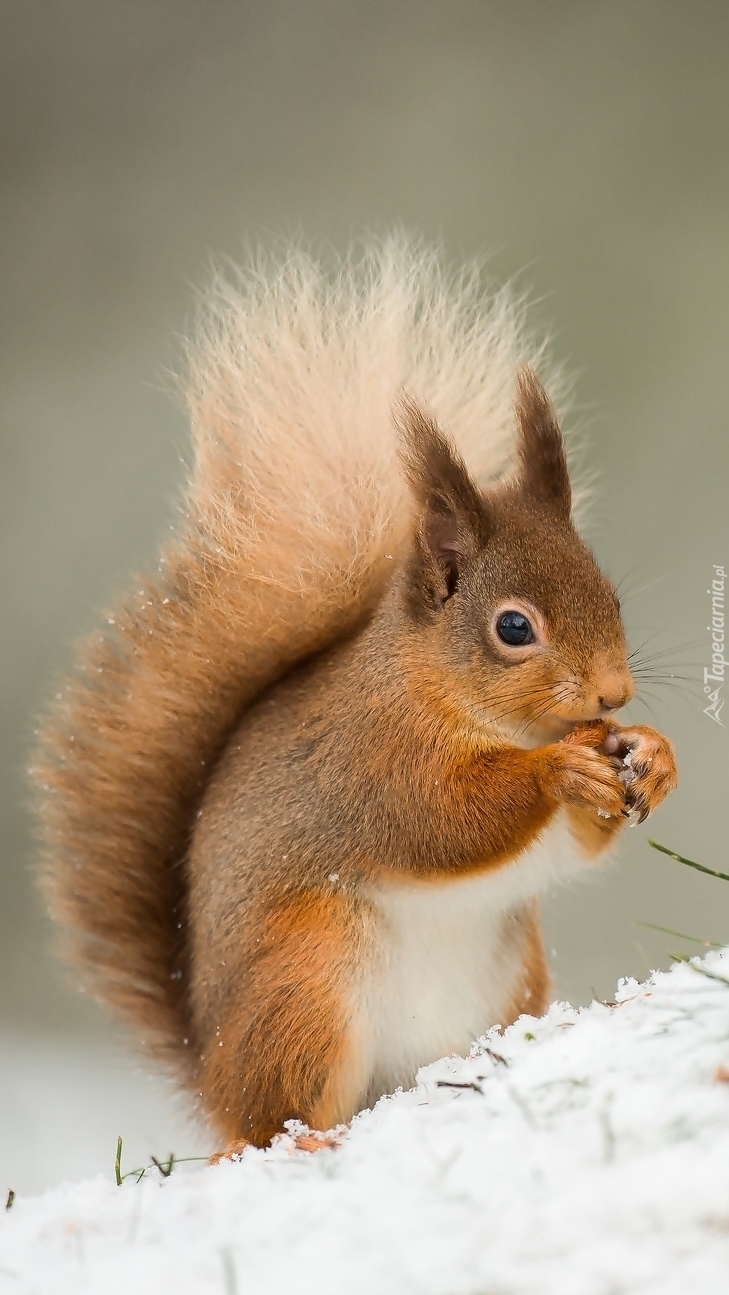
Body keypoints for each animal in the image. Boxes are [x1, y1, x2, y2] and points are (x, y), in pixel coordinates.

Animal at [35, 238, 678, 1160]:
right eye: (512, 627)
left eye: (612, 597)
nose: (613, 690)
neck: (462, 703)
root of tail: (213, 1074)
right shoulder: (370, 756)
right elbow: (438, 818)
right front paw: (559, 768)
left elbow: (574, 844)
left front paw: (652, 754)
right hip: (308, 981)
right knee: (273, 1119)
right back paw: (306, 1142)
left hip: (506, 974)